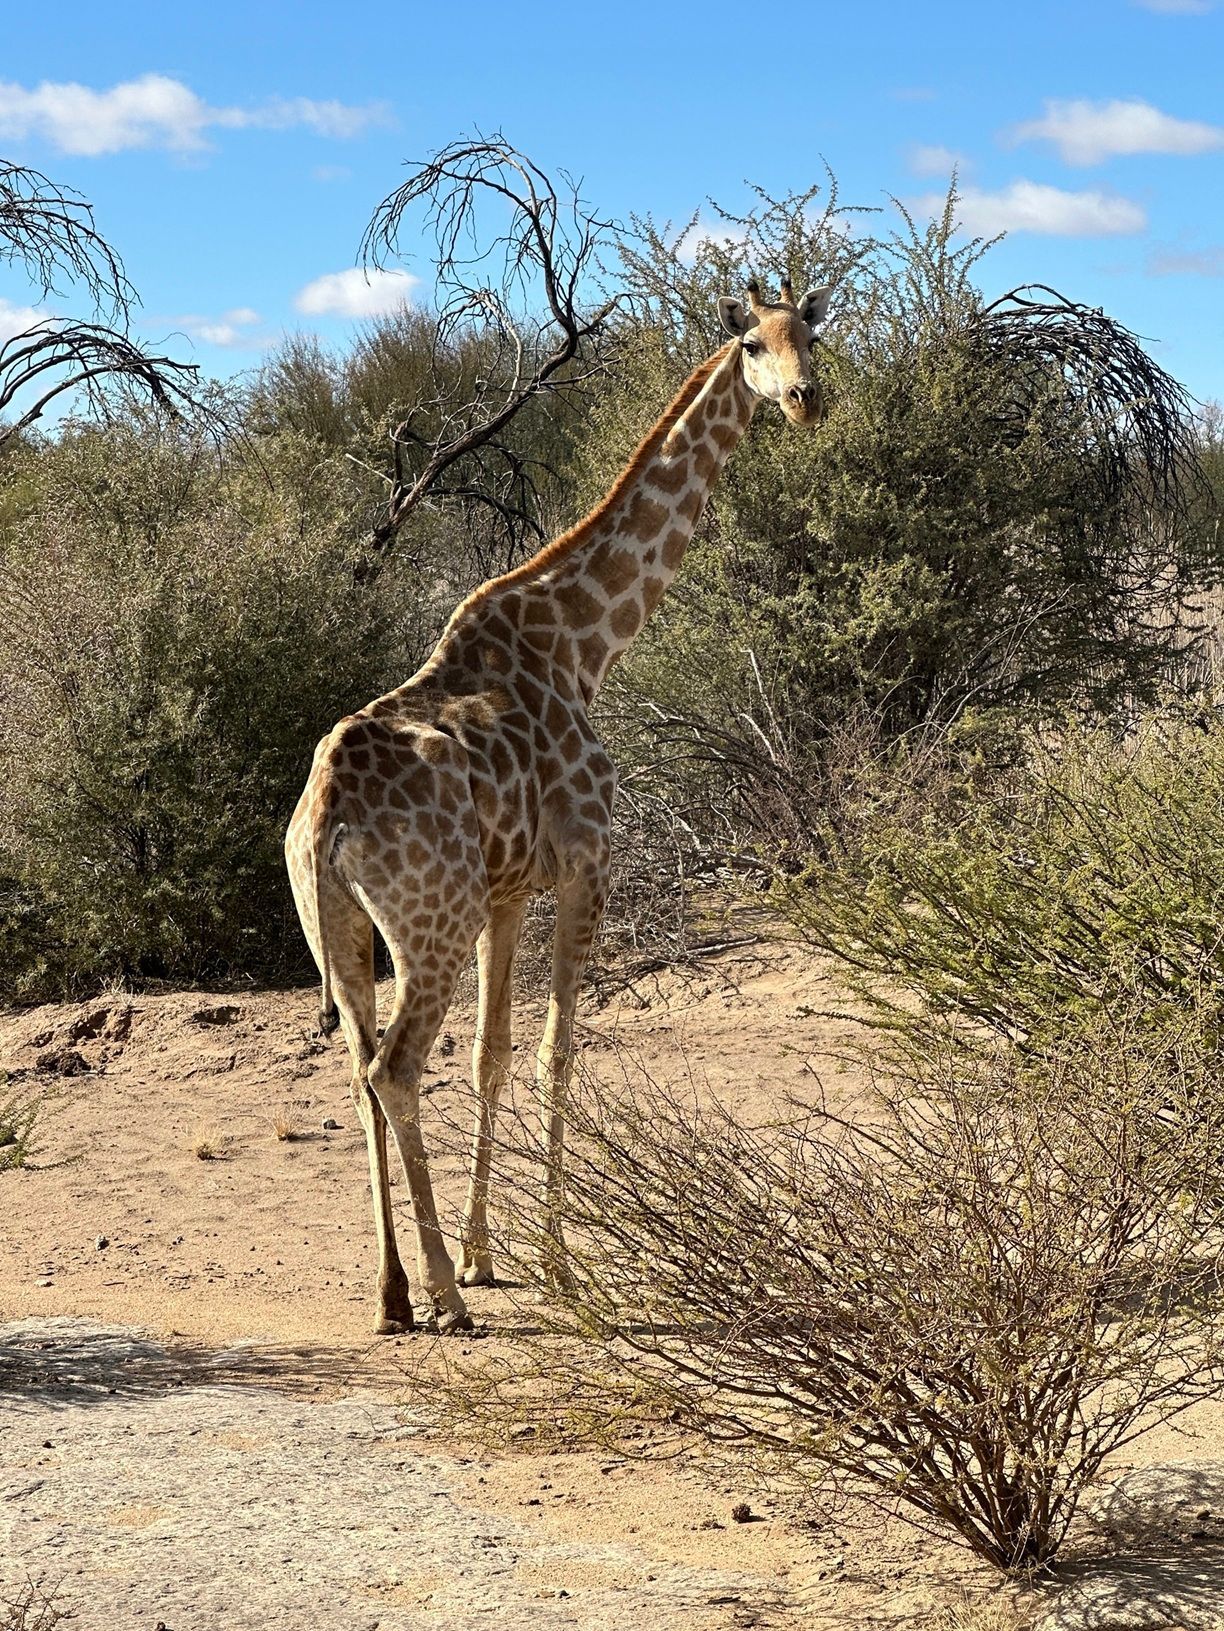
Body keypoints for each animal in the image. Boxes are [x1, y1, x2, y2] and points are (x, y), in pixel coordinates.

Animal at [284, 277, 833, 1334]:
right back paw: (442, 1298)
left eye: (812, 338)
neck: (586, 641)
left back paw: (392, 1292)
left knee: (359, 1072)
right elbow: (557, 1053)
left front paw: (489, 1253)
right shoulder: (588, 864)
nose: (805, 401)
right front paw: (555, 1263)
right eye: (752, 343)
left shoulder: (506, 893)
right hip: (430, 923)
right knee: (393, 1069)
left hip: (340, 926)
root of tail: (324, 815)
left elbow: (494, 1055)